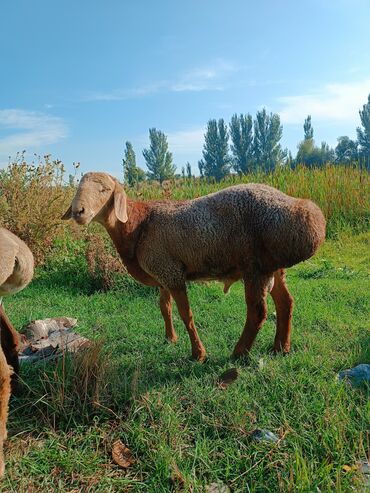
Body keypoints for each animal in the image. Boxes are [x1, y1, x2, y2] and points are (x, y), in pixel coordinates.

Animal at [62, 172, 326, 362]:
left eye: (104, 190)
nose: (78, 211)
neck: (137, 224)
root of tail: (305, 212)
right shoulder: (164, 273)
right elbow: (164, 308)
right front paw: (170, 338)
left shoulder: (172, 273)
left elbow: (185, 314)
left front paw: (198, 354)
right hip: (274, 266)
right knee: (285, 302)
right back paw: (280, 348)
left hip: (256, 268)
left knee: (257, 312)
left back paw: (239, 352)